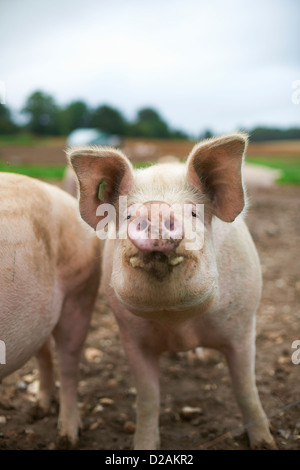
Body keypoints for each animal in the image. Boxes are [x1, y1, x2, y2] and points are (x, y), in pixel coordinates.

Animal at [68, 134, 276, 450]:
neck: (178, 322)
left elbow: (245, 389)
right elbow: (148, 398)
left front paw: (265, 444)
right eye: (128, 214)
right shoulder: (131, 337)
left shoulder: (243, 326)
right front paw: (144, 445)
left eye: (193, 212)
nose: (155, 208)